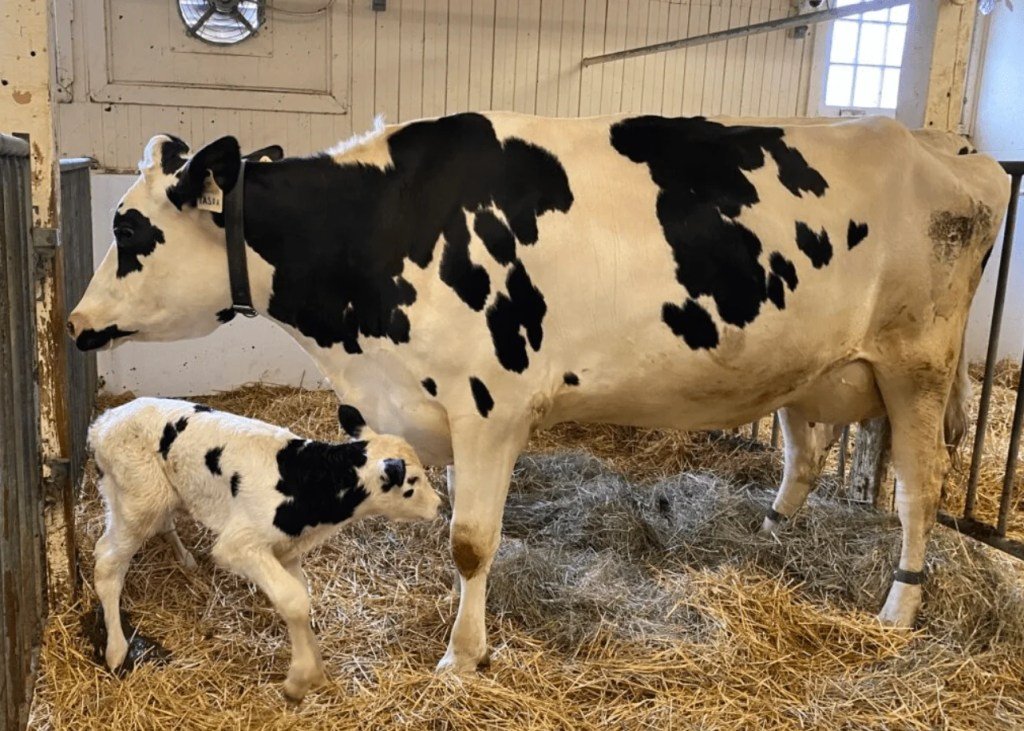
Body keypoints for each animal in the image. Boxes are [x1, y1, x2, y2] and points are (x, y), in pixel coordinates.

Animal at [89, 399, 440, 700]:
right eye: (413, 482)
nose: (438, 504)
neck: (306, 480)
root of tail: (103, 421)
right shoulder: (239, 544)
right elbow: (294, 600)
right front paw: (300, 678)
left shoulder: (287, 549)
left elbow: (301, 597)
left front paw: (315, 669)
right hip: (138, 502)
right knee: (107, 562)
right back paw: (116, 650)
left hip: (158, 495)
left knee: (160, 525)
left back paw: (185, 559)